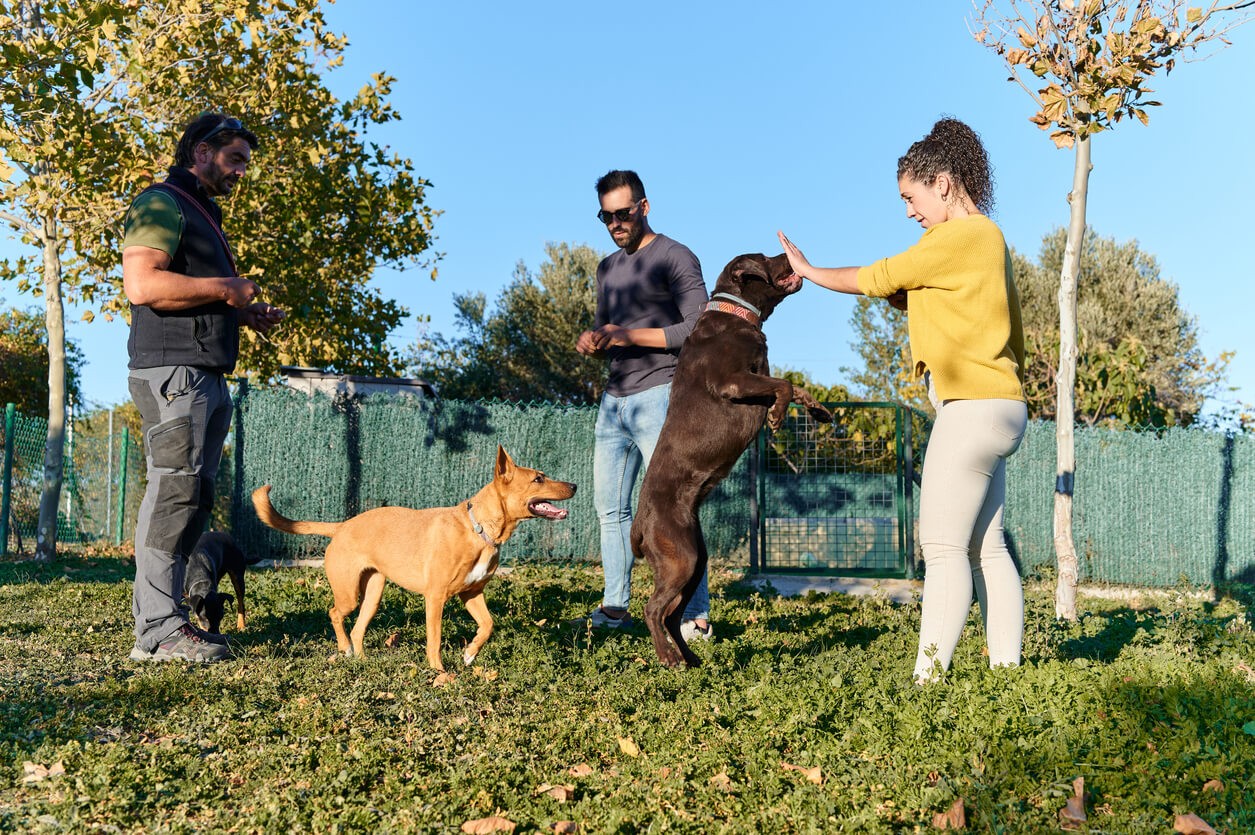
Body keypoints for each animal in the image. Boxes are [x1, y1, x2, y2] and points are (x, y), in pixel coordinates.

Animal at [252, 441, 574, 673]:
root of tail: (342, 526)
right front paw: (439, 672)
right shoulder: (435, 598)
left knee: (357, 629)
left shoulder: (472, 594)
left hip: (373, 595)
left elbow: (488, 625)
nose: (574, 486)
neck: (478, 529)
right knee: (334, 614)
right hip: (348, 594)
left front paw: (469, 654)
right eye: (538, 479)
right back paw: (345, 650)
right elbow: (434, 639)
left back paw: (362, 660)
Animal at [632, 251, 828, 668]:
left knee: (672, 615)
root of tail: (641, 520)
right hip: (681, 559)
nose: (789, 253)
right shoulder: (733, 381)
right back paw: (668, 657)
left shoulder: (756, 380)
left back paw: (690, 658)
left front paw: (818, 410)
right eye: (768, 257)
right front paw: (777, 416)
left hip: (695, 561)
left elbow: (794, 386)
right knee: (653, 610)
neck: (735, 317)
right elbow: (784, 384)